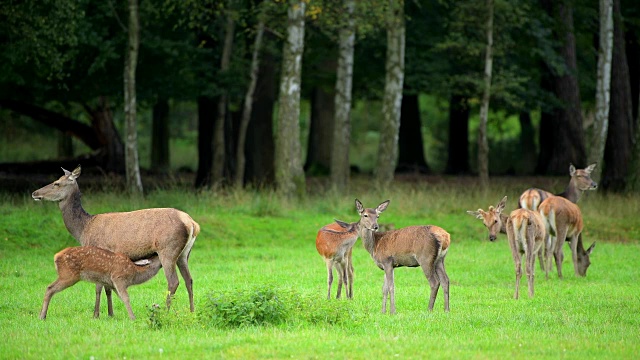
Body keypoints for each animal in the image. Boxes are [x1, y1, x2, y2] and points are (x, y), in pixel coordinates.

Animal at [30, 165, 199, 316]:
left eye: (56, 183)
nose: (34, 193)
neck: (83, 229)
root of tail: (191, 223)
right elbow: (107, 288)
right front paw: (110, 313)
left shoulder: (97, 250)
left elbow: (99, 287)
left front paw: (96, 314)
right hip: (184, 253)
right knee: (189, 280)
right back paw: (192, 312)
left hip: (167, 249)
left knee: (173, 281)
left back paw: (166, 312)